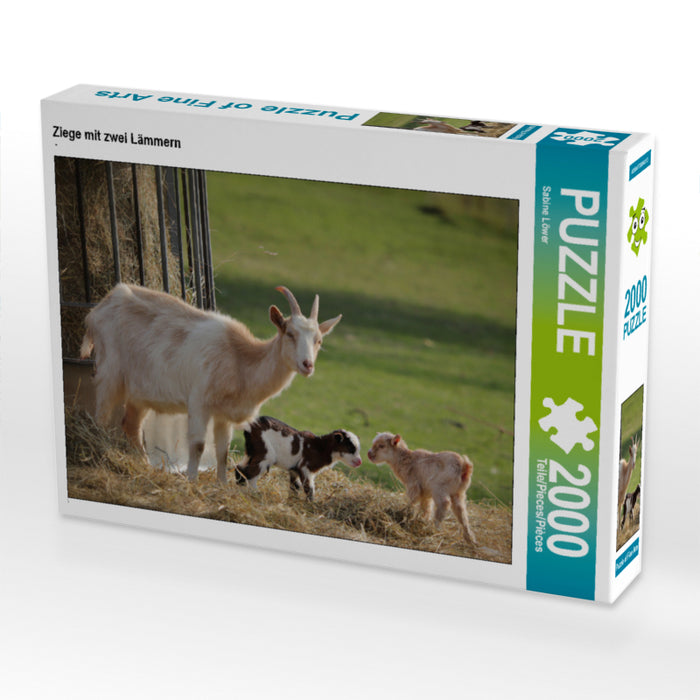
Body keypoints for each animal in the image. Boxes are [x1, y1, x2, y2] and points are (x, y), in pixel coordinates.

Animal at [79, 284, 342, 483]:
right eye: (290, 334)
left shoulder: (223, 414)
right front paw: (192, 481)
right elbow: (197, 445)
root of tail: (99, 308)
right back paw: (99, 454)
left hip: (140, 391)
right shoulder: (199, 402)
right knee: (100, 416)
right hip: (110, 372)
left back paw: (144, 465)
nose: (307, 365)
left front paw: (222, 485)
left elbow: (222, 450)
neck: (240, 359)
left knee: (131, 424)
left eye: (318, 340)